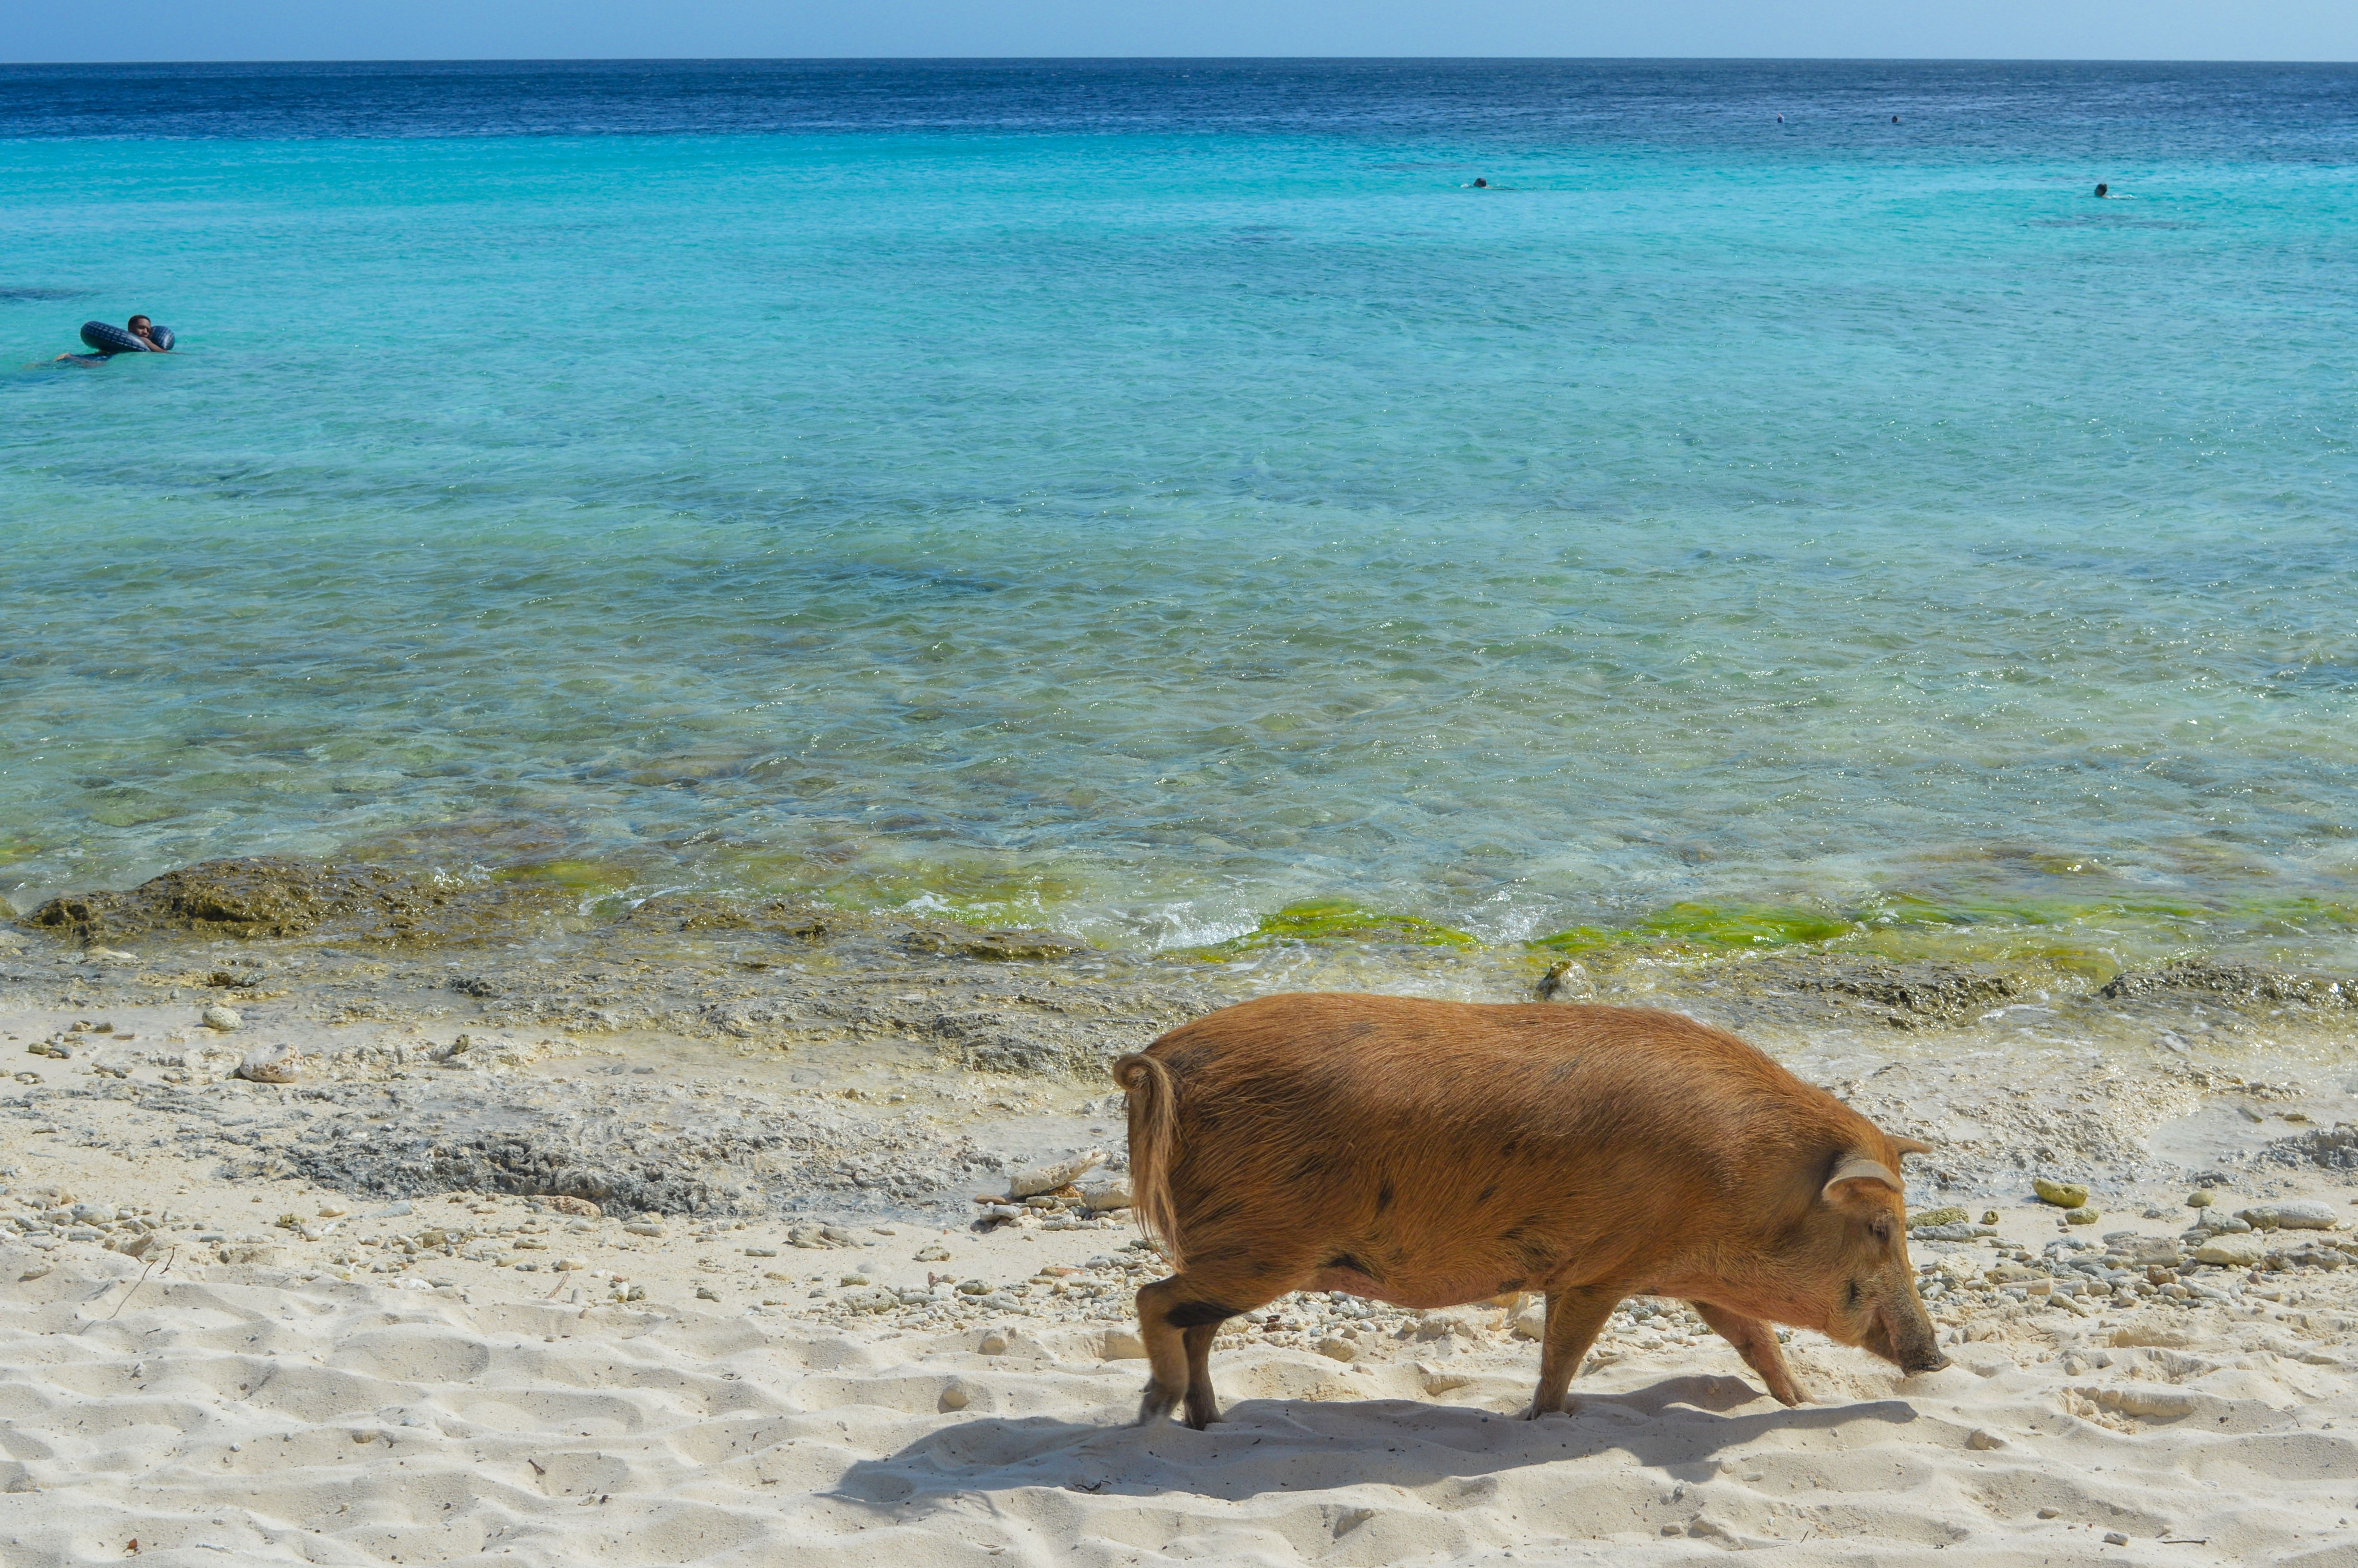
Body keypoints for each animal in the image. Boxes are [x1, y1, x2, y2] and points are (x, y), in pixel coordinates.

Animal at [1113, 995, 1943, 1424]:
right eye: (1881, 1226)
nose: (1936, 1357)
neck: (1743, 1181)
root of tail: (1163, 1060)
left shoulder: (1696, 1278)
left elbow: (1754, 1339)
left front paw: (1803, 1402)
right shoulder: (1600, 1267)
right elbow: (1564, 1350)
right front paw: (1541, 1420)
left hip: (1241, 1252)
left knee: (1194, 1325)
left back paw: (1207, 1421)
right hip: (1260, 1248)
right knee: (1153, 1299)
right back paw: (1158, 1408)